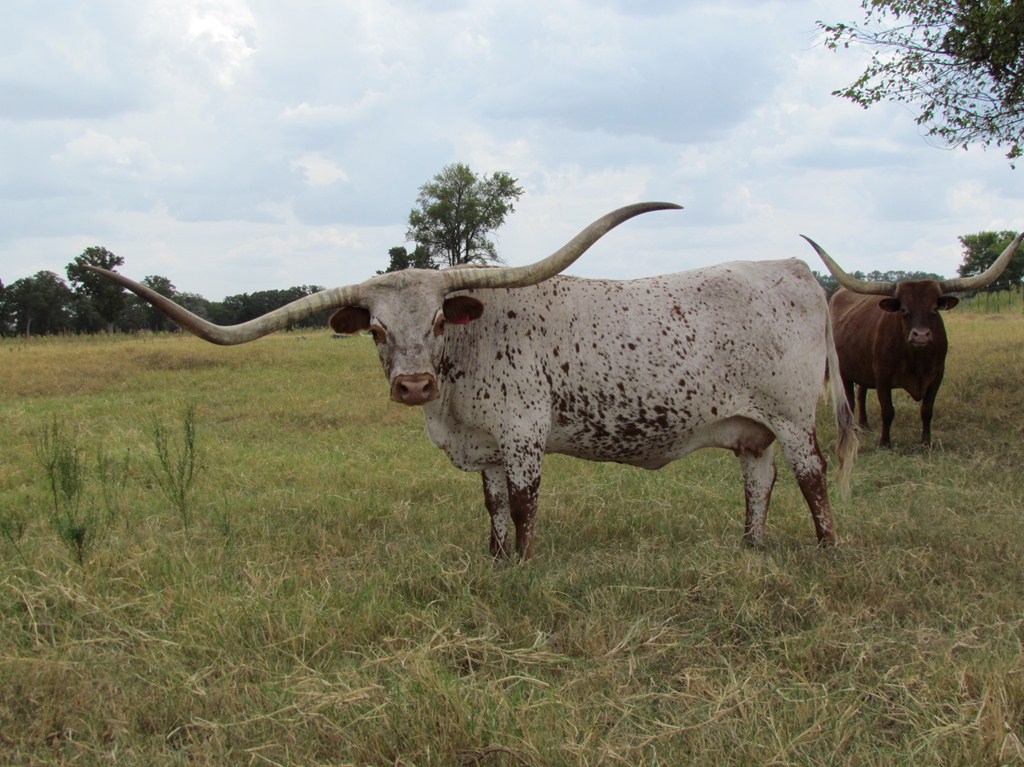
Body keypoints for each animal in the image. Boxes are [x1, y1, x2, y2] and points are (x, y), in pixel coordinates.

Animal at [88, 203, 857, 559]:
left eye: (436, 317)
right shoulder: (482, 447)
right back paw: (751, 546)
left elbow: (522, 505)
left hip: (793, 416)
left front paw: (526, 563)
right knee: (759, 480)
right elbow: (488, 508)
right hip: (752, 427)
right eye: (375, 330)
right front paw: (494, 562)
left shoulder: (521, 438)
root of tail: (795, 269)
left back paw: (825, 550)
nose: (413, 386)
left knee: (813, 477)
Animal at [802, 232, 1023, 447]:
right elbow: (888, 410)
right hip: (844, 370)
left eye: (934, 309)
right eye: (904, 309)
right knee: (851, 399)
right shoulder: (882, 376)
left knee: (861, 392)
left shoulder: (937, 376)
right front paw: (885, 443)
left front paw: (926, 442)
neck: (917, 359)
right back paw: (855, 428)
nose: (921, 335)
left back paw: (865, 425)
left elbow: (927, 410)